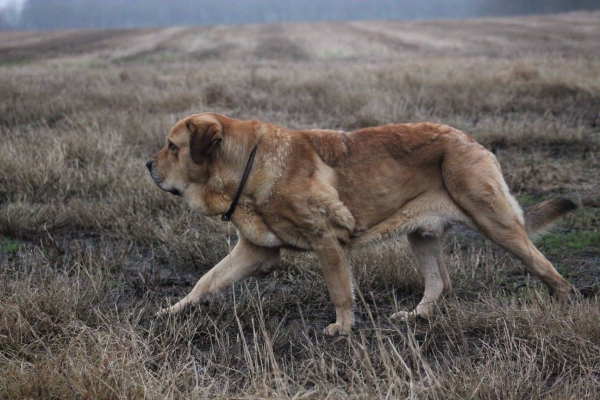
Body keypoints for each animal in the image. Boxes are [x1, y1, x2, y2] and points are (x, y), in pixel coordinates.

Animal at [145, 111, 576, 336]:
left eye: (172, 146)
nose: (147, 164)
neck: (248, 165)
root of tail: (471, 141)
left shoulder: (327, 241)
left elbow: (340, 290)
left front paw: (342, 327)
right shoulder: (254, 249)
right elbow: (206, 281)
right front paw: (172, 311)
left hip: (495, 222)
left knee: (547, 268)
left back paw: (563, 305)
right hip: (422, 235)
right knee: (440, 281)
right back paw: (416, 317)